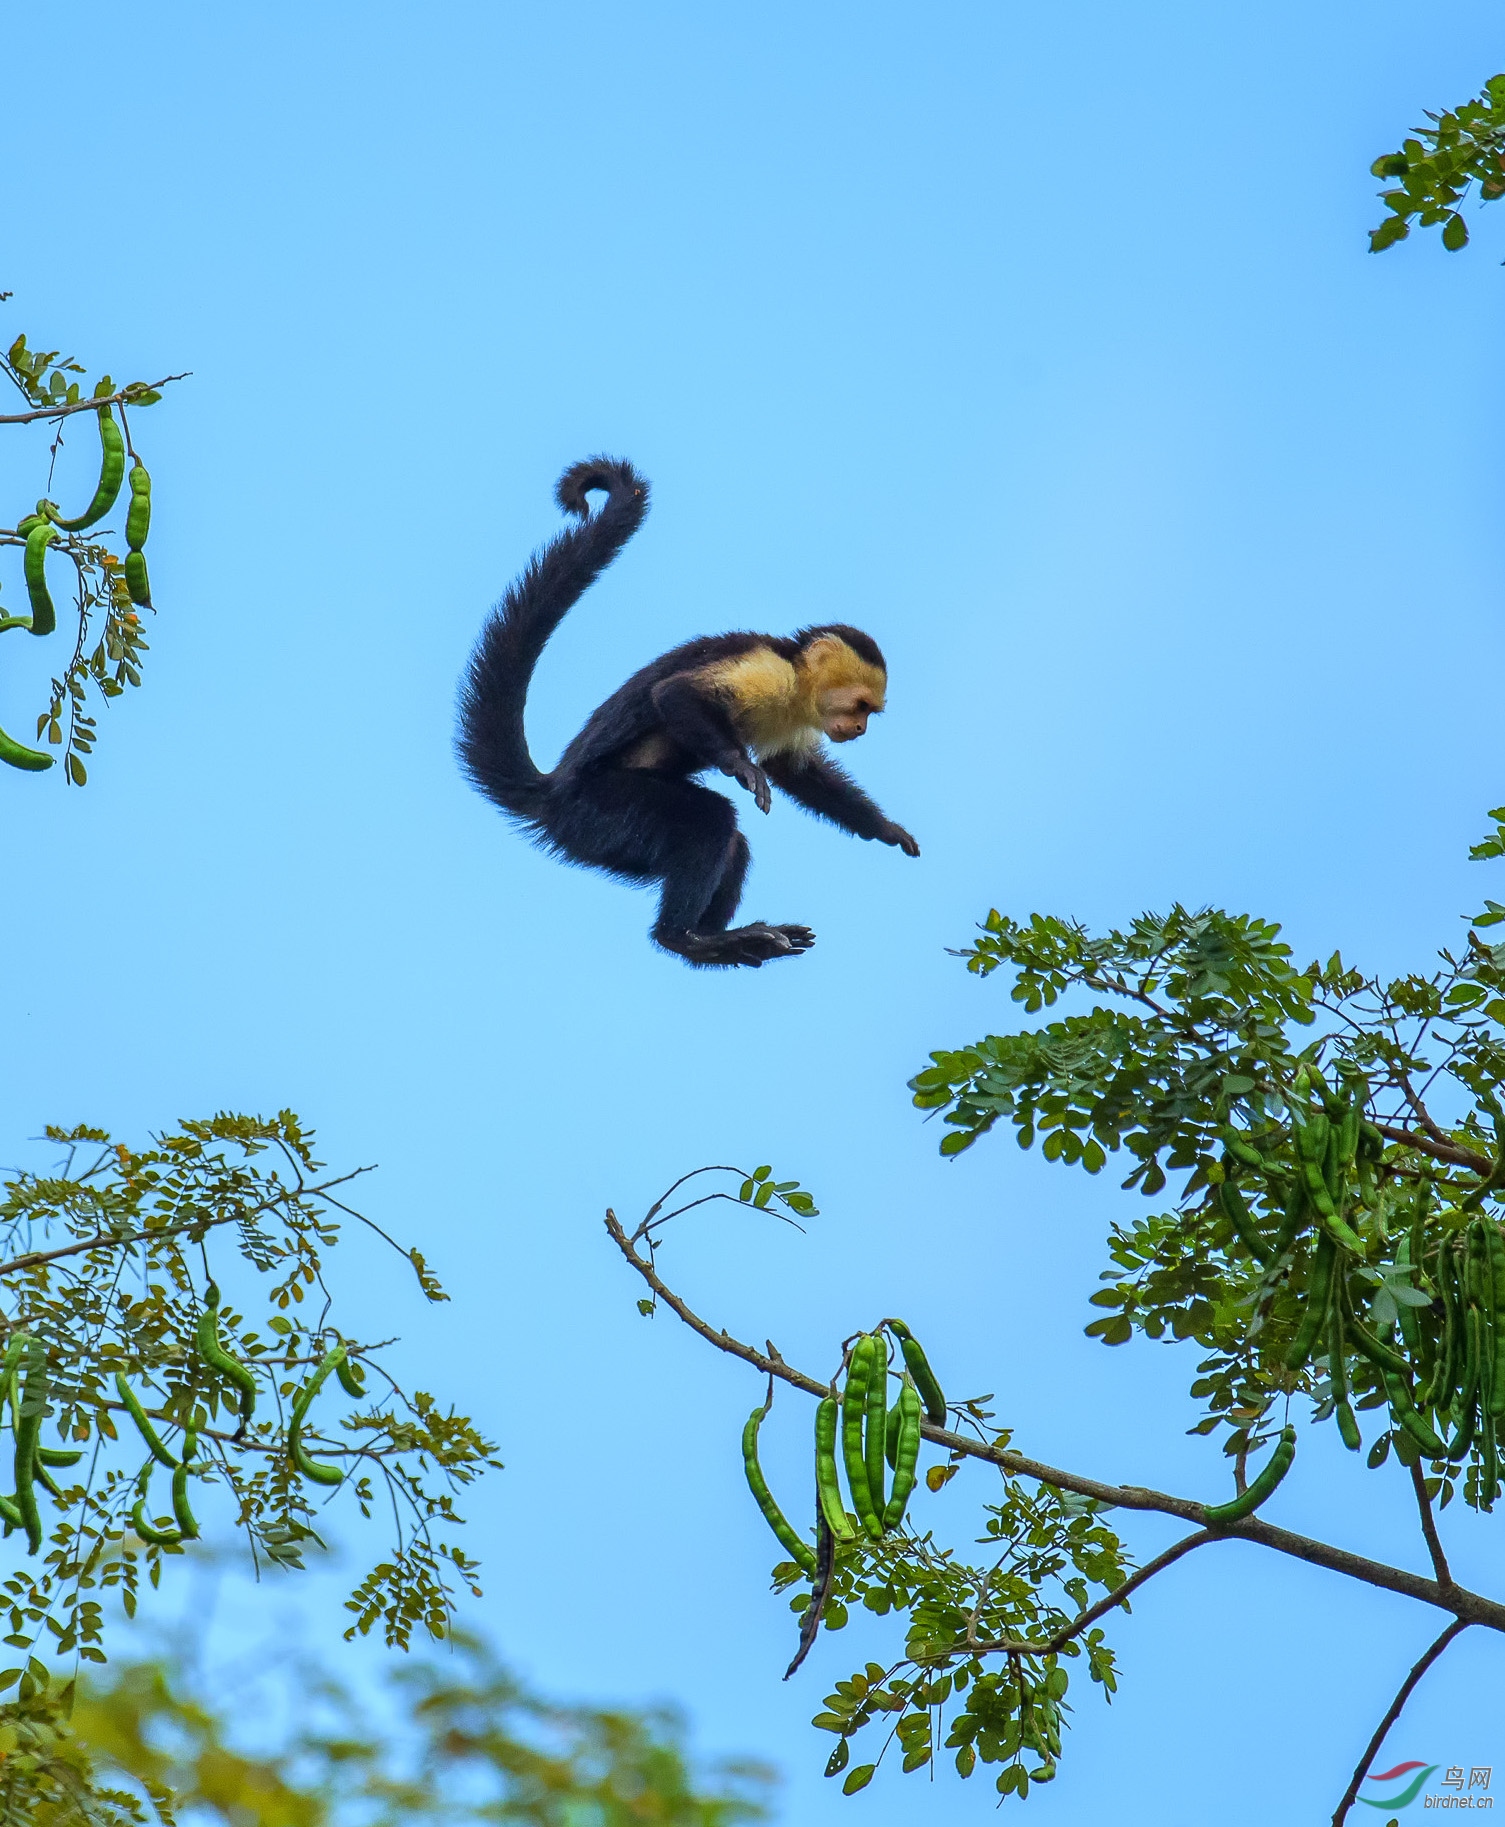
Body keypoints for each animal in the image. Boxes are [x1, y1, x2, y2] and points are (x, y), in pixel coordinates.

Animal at [452, 456, 916, 964]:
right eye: (861, 706)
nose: (860, 728)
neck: (796, 680)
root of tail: (554, 790)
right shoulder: (768, 670)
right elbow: (674, 696)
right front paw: (741, 765)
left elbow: (793, 769)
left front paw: (883, 828)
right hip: (598, 813)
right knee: (710, 821)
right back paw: (684, 936)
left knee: (732, 843)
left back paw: (722, 941)